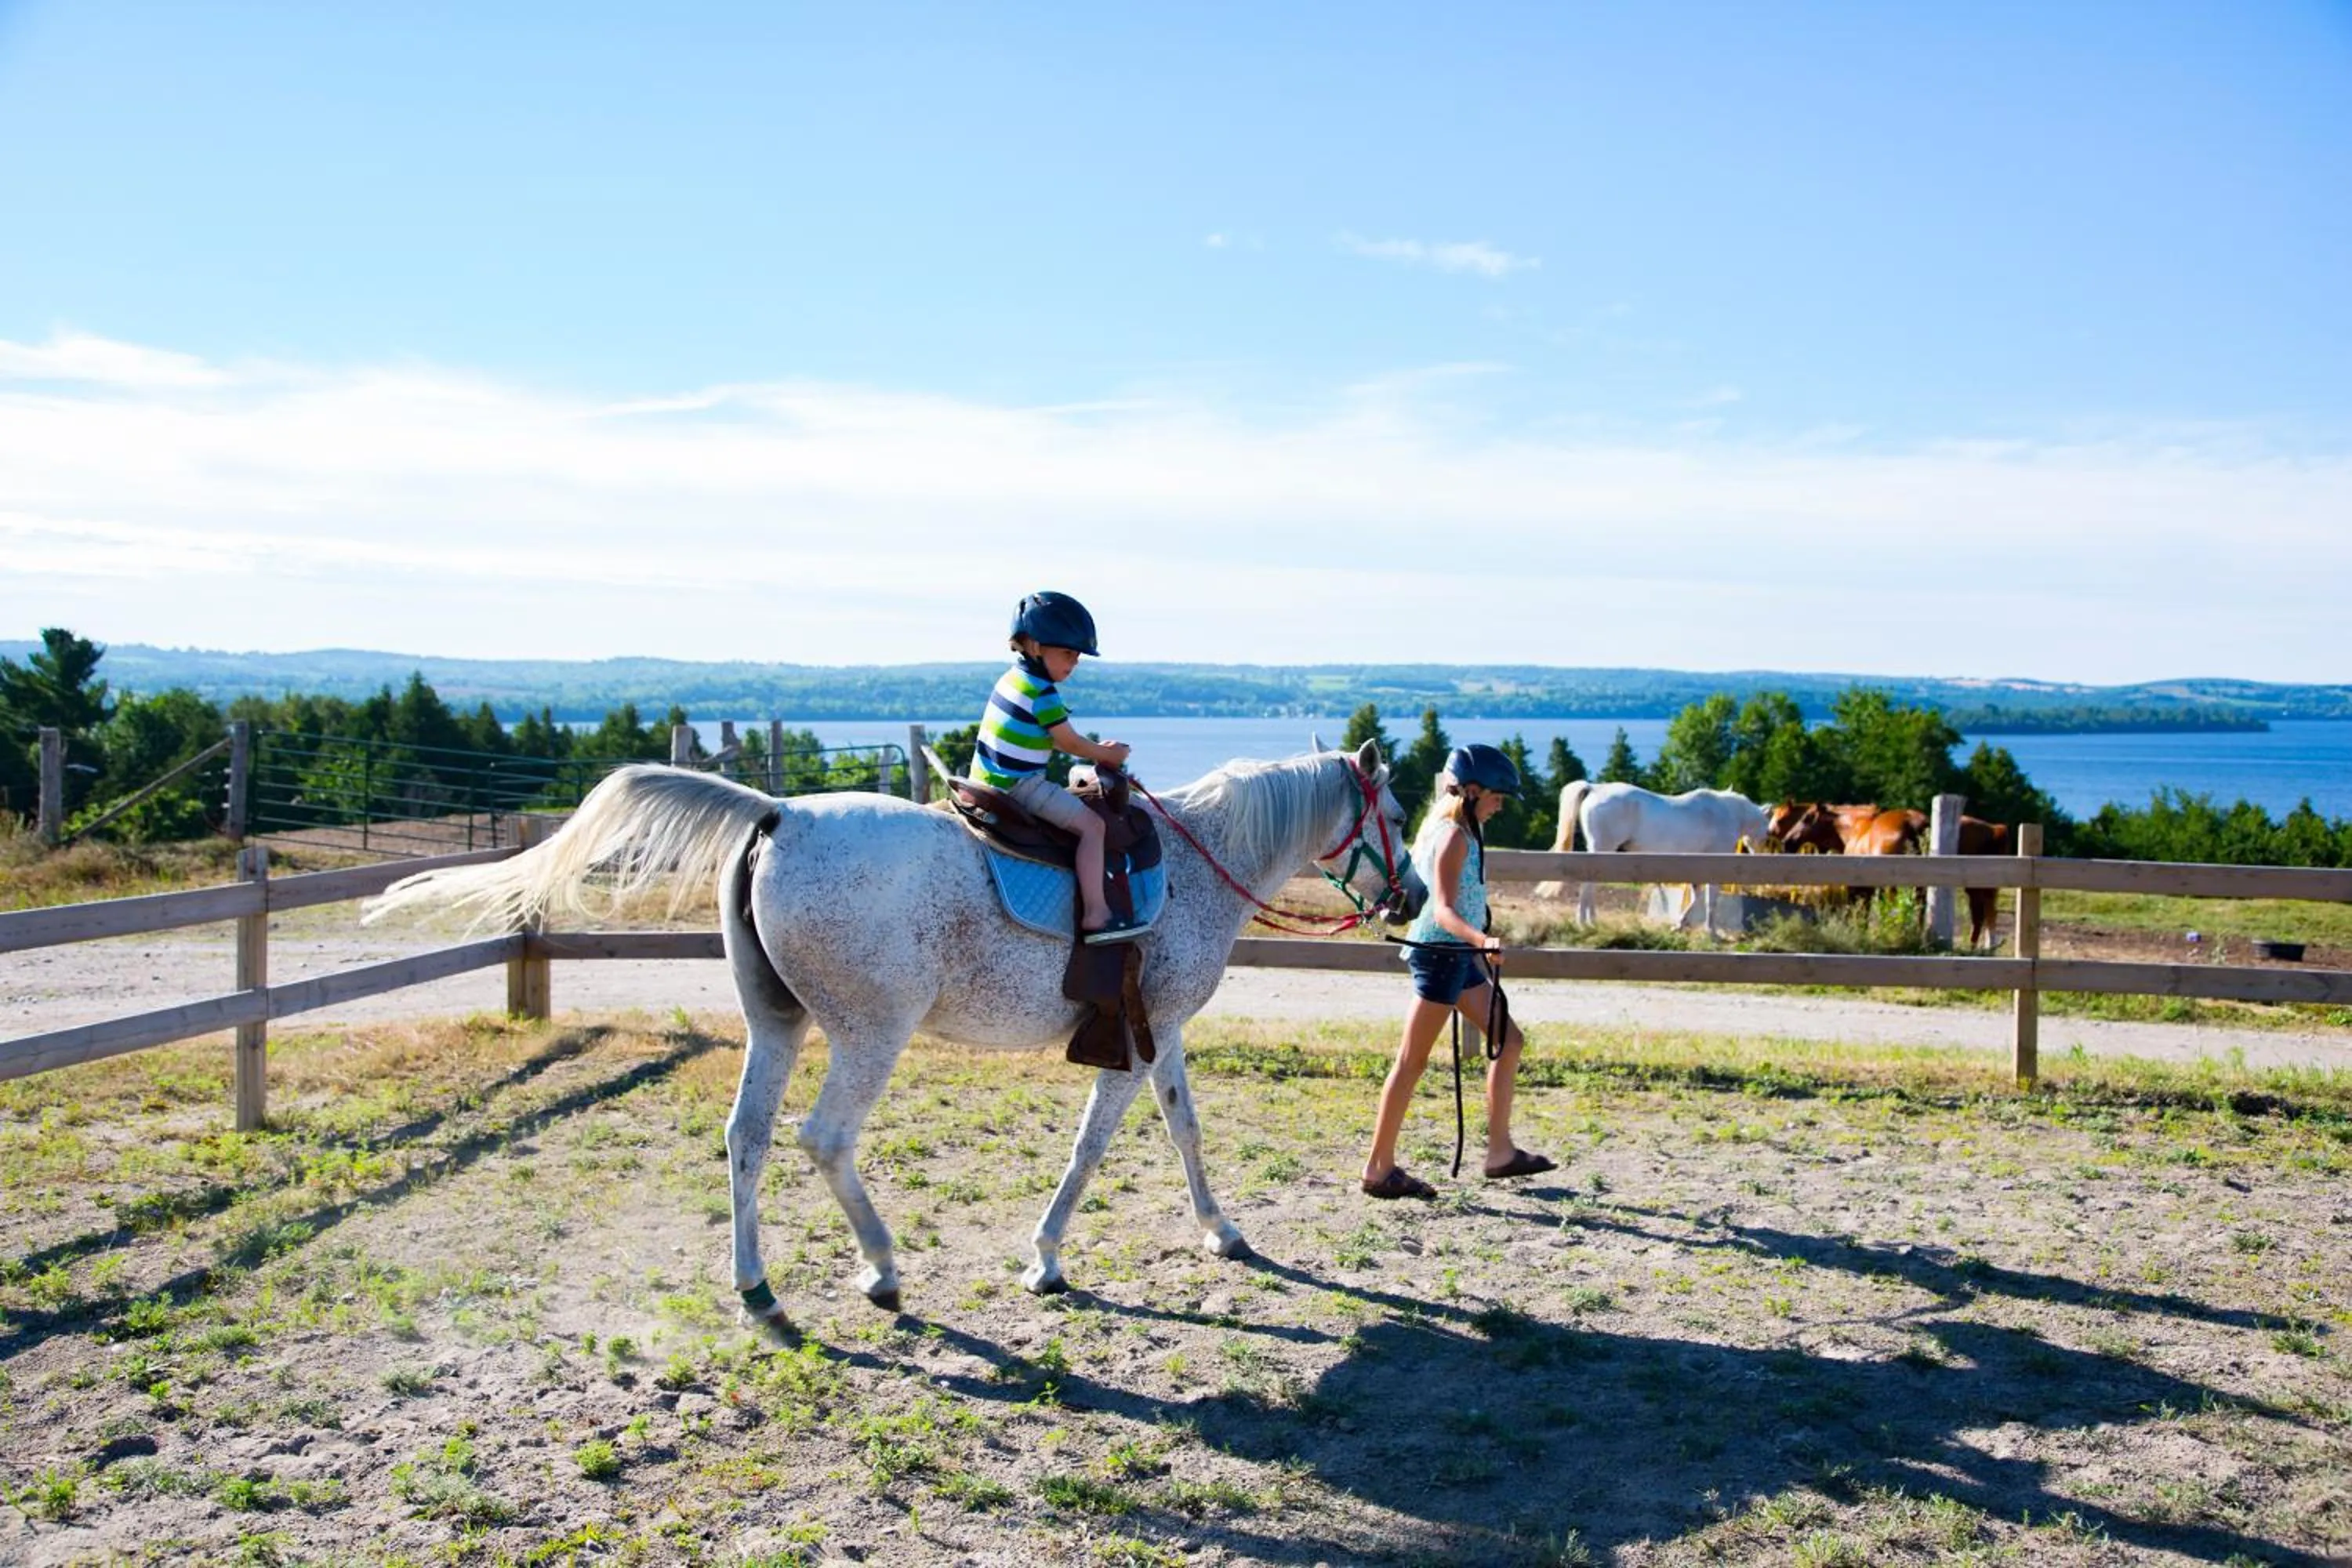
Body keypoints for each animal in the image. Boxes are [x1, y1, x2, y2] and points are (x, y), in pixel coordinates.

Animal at [364, 740, 1425, 1327]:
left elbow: (1185, 1130)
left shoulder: (1158, 1038)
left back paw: (759, 1291)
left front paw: (1222, 1231)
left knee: (747, 1138)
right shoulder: (1142, 1036)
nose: (1413, 894)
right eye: (1397, 811)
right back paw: (880, 1268)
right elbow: (1093, 1148)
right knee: (823, 1139)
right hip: (870, 1035)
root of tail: (778, 814)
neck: (1202, 863)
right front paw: (1046, 1257)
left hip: (777, 1026)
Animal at [1533, 781, 1769, 936]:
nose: (1761, 855)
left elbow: (1696, 897)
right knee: (1588, 885)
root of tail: (1595, 788)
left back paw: (1591, 921)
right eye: (1768, 830)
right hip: (1602, 850)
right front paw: (1711, 933)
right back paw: (1585, 922)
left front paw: (1680, 924)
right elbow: (1710, 899)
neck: (1725, 812)